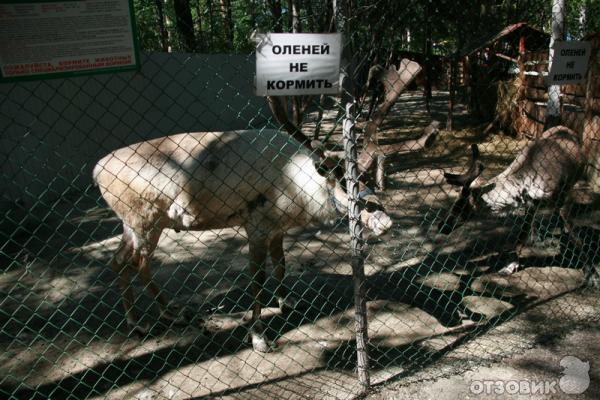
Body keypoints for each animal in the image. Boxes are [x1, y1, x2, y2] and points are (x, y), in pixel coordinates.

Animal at [92, 126, 394, 352]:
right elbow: (257, 278)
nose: (385, 221)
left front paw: (286, 303)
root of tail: (96, 170)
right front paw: (259, 337)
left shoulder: (277, 228)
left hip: (140, 226)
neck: (299, 182)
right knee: (131, 261)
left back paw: (167, 314)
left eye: (365, 177)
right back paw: (137, 323)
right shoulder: (256, 226)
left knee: (127, 261)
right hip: (143, 222)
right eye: (343, 182)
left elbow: (281, 263)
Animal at [438, 126, 584, 276]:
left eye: (460, 207)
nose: (441, 226)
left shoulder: (563, 196)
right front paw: (510, 266)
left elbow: (574, 233)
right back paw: (538, 238)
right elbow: (522, 235)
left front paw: (586, 266)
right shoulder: (530, 204)